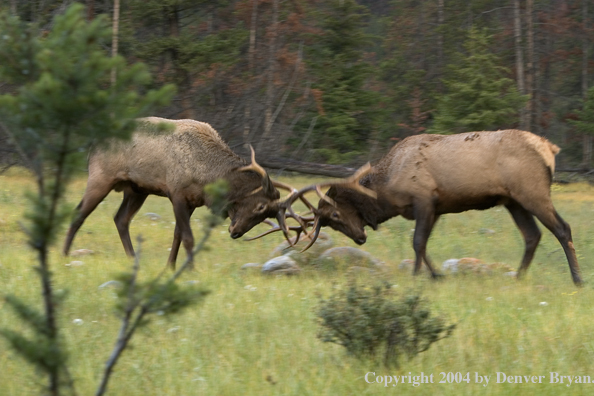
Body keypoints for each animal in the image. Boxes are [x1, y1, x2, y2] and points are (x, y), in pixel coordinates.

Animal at [62, 116, 294, 268]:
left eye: (265, 215)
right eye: (260, 206)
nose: (235, 232)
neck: (208, 175)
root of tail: (93, 144)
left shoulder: (192, 202)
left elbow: (178, 235)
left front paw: (170, 266)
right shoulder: (177, 195)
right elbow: (188, 237)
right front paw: (190, 269)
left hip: (136, 190)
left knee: (120, 219)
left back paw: (132, 258)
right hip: (100, 178)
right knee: (79, 213)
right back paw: (64, 254)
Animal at [280, 131, 580, 286]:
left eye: (335, 214)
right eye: (332, 222)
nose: (360, 238)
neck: (387, 186)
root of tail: (550, 149)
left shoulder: (423, 199)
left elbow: (417, 242)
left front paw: (417, 277)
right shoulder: (436, 207)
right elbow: (423, 245)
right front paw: (436, 275)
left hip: (532, 192)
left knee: (562, 228)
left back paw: (577, 279)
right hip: (513, 201)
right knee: (532, 235)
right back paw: (518, 277)